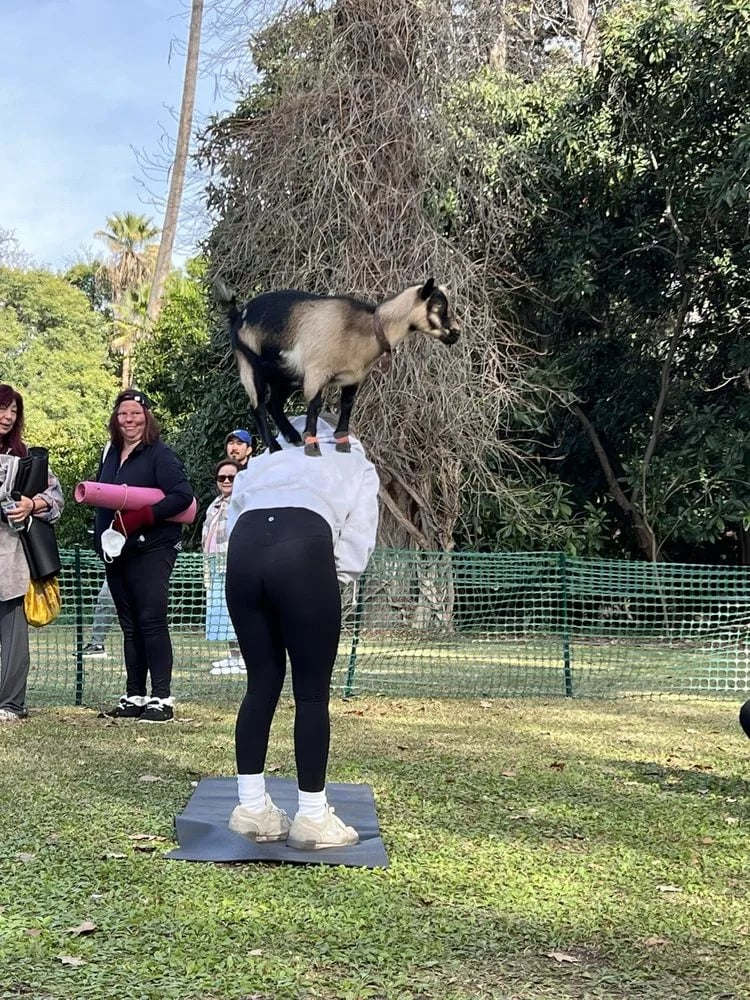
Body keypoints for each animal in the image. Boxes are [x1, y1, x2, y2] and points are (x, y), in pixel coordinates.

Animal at [216, 278, 460, 455]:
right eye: (438, 305)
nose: (456, 333)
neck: (367, 329)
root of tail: (236, 315)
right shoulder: (316, 373)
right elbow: (314, 407)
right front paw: (312, 447)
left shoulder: (353, 378)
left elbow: (347, 405)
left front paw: (342, 443)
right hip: (248, 363)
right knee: (257, 405)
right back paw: (275, 447)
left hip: (284, 374)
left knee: (273, 403)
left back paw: (292, 437)